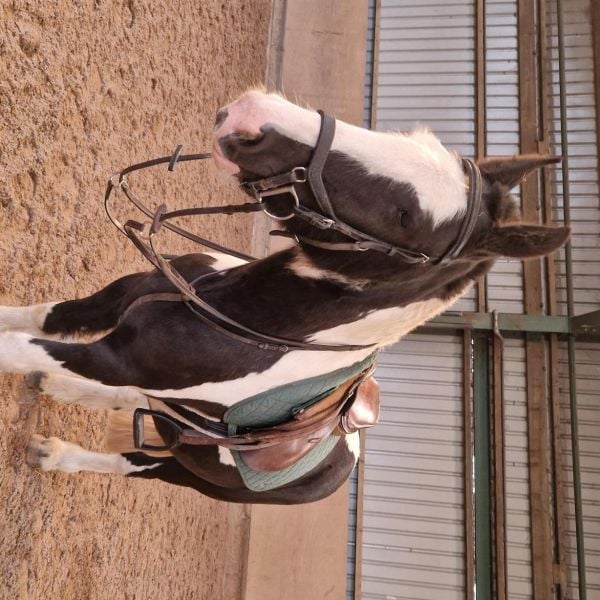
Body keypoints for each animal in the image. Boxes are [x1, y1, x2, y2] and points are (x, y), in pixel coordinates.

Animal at [1, 90, 569, 504]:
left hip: (191, 473)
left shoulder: (117, 360)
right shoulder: (116, 301)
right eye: (402, 135)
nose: (252, 116)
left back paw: (54, 450)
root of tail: (345, 460)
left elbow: (22, 347)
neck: (235, 313)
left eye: (407, 217)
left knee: (135, 461)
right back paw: (60, 389)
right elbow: (45, 316)